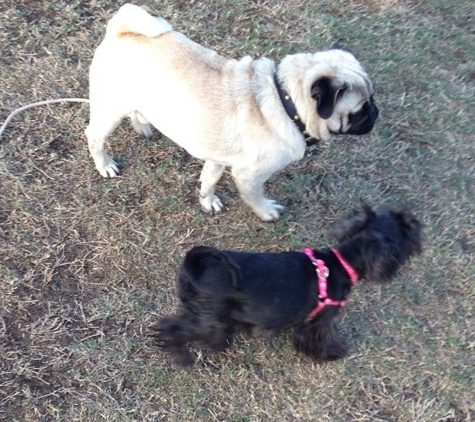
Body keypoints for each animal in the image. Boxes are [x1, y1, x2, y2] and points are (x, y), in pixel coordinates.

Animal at [86, 4, 380, 221]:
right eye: (360, 110)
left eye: (372, 100)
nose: (375, 113)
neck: (285, 101)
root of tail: (121, 31)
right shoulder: (249, 176)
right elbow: (255, 196)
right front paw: (266, 212)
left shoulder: (217, 158)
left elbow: (208, 180)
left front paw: (208, 202)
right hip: (109, 110)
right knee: (94, 136)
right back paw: (105, 165)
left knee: (135, 112)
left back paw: (143, 125)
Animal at [151, 205, 422, 366]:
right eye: (406, 231)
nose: (417, 223)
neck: (343, 261)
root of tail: (194, 265)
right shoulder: (320, 322)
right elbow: (320, 338)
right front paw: (332, 353)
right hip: (211, 322)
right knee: (172, 329)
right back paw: (182, 356)